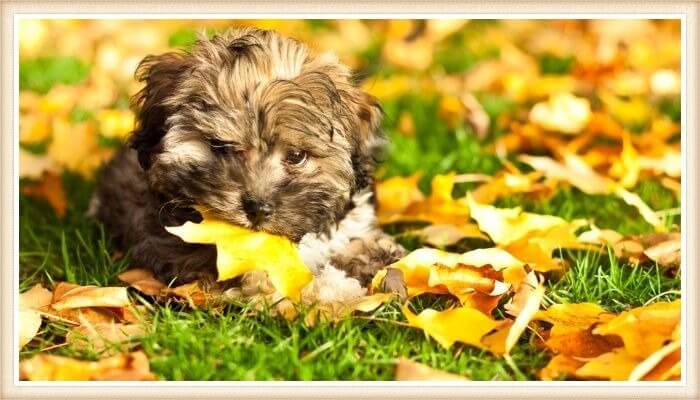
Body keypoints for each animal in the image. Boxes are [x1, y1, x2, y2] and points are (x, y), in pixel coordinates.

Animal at [93, 28, 410, 296]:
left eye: (297, 156)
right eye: (220, 145)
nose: (257, 209)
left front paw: (384, 263)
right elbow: (270, 279)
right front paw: (331, 291)